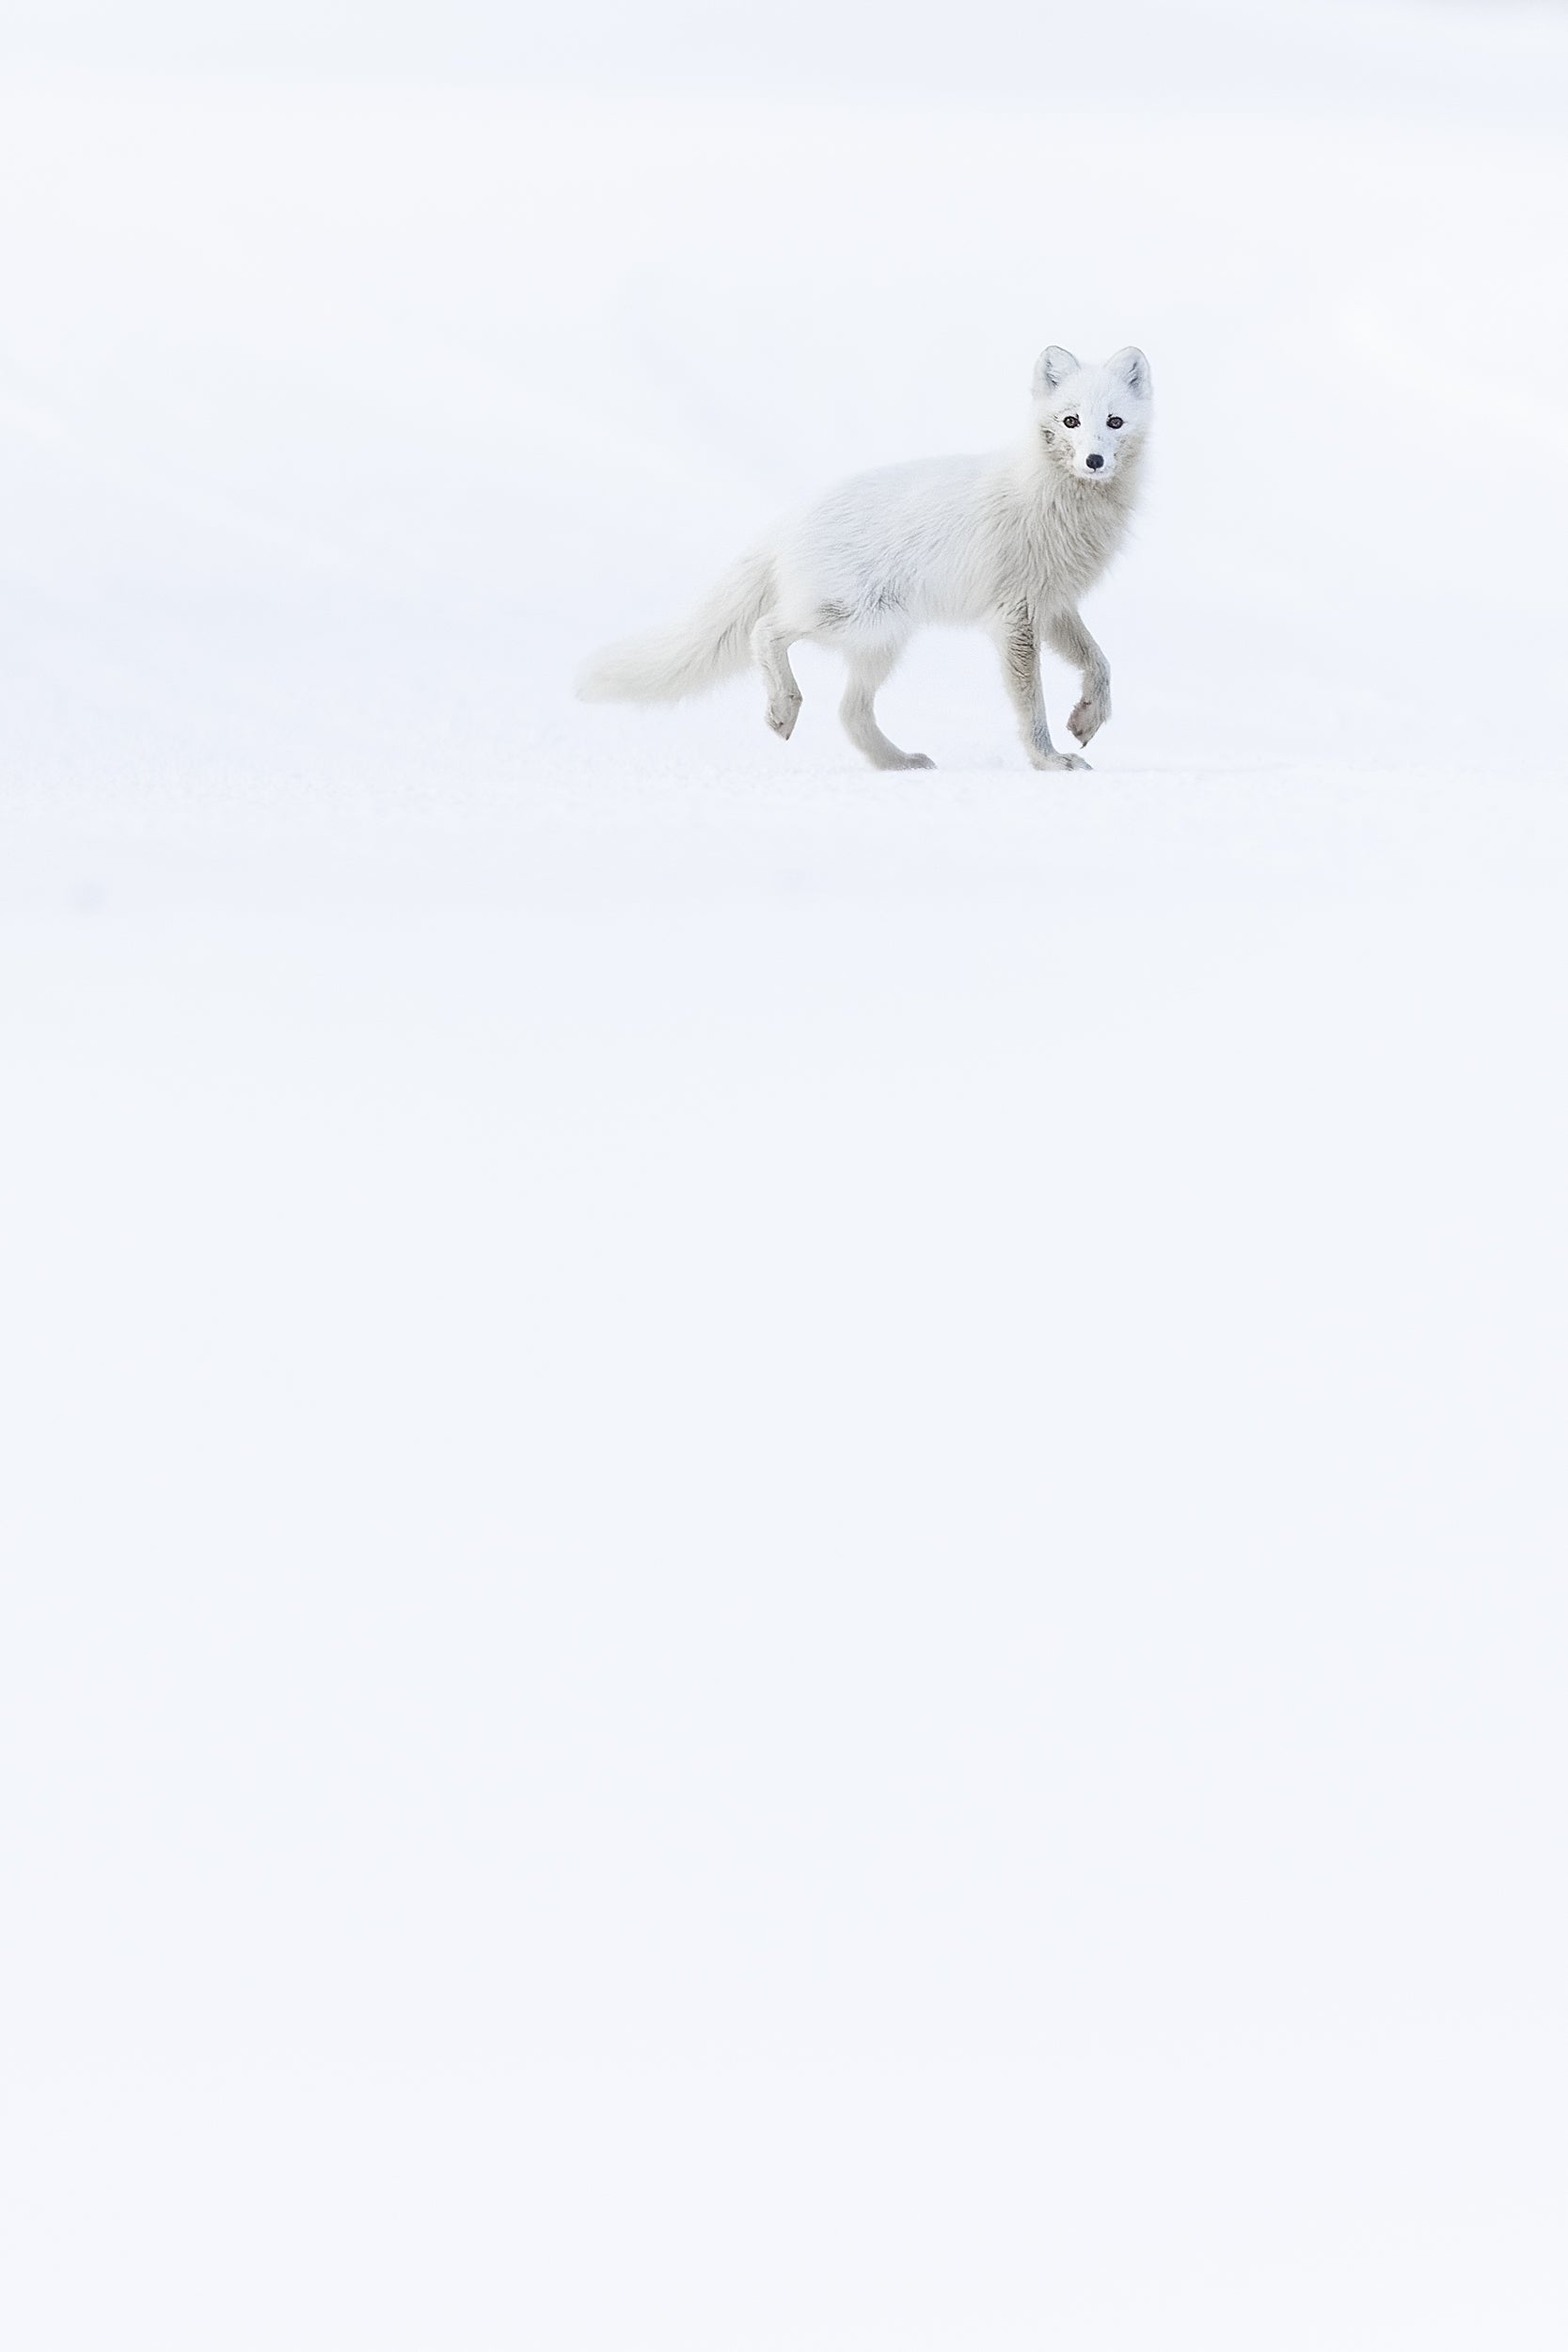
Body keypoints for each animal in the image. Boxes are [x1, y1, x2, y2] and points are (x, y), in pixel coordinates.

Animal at [578, 344, 1151, 772]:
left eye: (1114, 422)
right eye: (1070, 421)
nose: (1094, 460)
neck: (1053, 500)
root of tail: (785, 523)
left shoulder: (1053, 604)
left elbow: (1100, 664)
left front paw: (1087, 719)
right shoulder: (1016, 617)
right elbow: (1031, 704)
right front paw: (1048, 760)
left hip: (881, 639)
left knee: (850, 713)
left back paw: (897, 764)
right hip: (853, 615)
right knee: (765, 630)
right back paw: (784, 707)